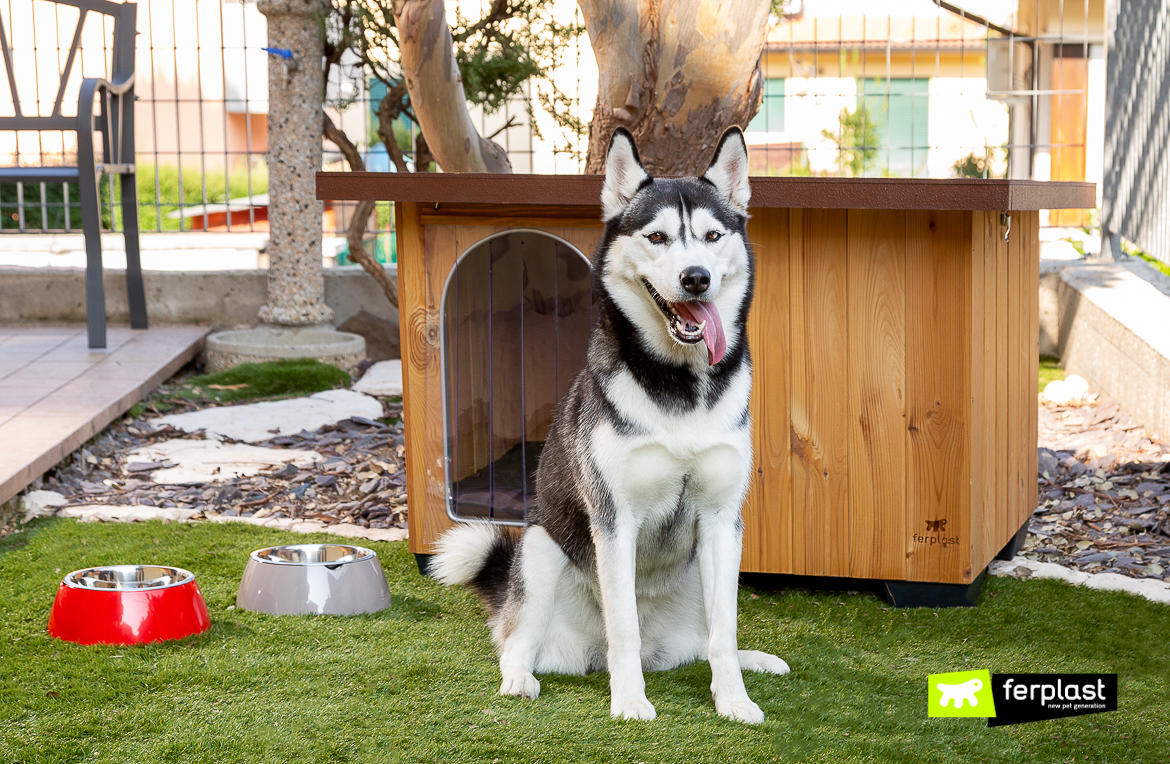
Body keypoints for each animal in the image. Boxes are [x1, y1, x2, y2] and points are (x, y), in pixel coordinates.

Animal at [430, 125, 786, 720]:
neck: (678, 384)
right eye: (658, 237)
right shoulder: (614, 517)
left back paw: (754, 660)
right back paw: (520, 678)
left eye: (712, 236)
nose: (696, 278)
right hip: (541, 551)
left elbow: (724, 631)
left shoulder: (721, 522)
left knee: (705, 639)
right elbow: (625, 628)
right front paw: (630, 702)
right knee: (516, 641)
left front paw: (735, 700)